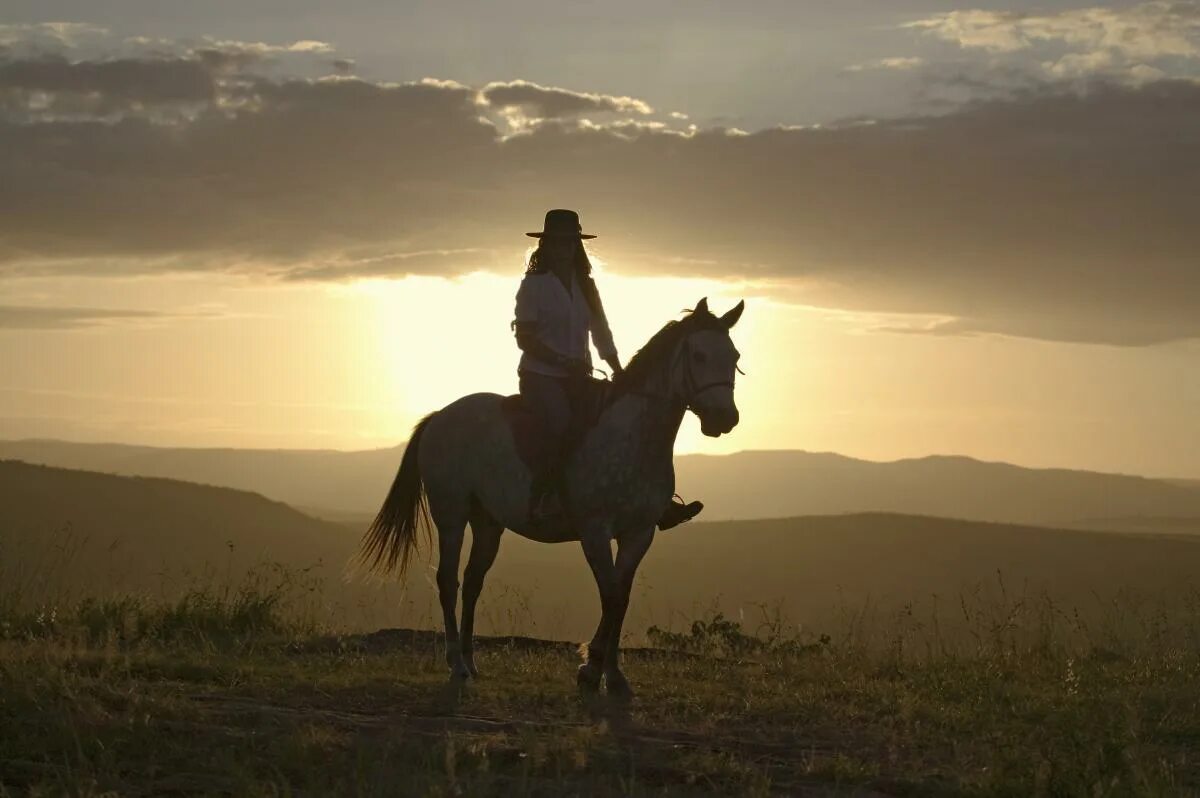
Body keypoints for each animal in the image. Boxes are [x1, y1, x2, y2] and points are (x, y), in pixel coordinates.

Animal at [360, 295, 744, 696]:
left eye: (733, 356)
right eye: (699, 355)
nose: (724, 419)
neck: (634, 438)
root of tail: (439, 417)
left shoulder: (639, 533)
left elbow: (621, 598)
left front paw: (613, 675)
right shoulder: (594, 531)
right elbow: (610, 594)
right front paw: (591, 670)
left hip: (488, 523)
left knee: (473, 582)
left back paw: (471, 661)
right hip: (451, 514)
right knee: (448, 582)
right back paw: (457, 667)